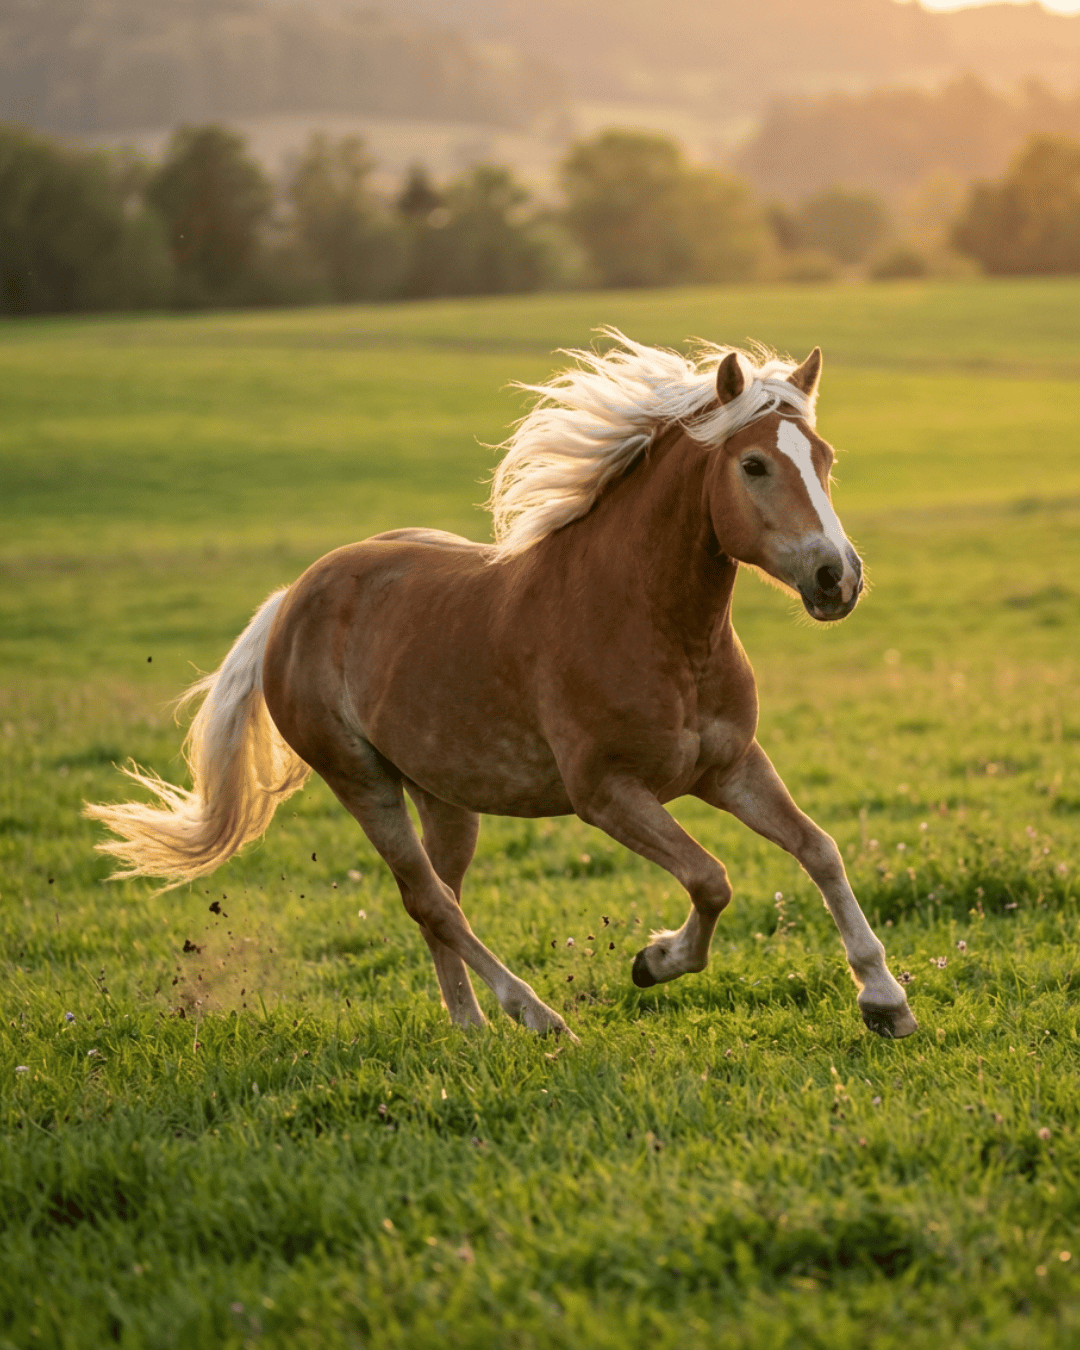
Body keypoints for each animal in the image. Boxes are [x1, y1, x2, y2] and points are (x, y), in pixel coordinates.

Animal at [86, 329, 917, 1041]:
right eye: (753, 466)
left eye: (824, 457)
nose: (836, 577)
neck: (652, 626)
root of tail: (293, 598)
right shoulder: (606, 794)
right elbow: (712, 880)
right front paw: (654, 961)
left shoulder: (730, 766)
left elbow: (819, 850)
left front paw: (885, 1001)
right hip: (361, 781)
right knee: (429, 899)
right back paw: (535, 1015)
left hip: (444, 796)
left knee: (437, 901)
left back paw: (470, 1027)